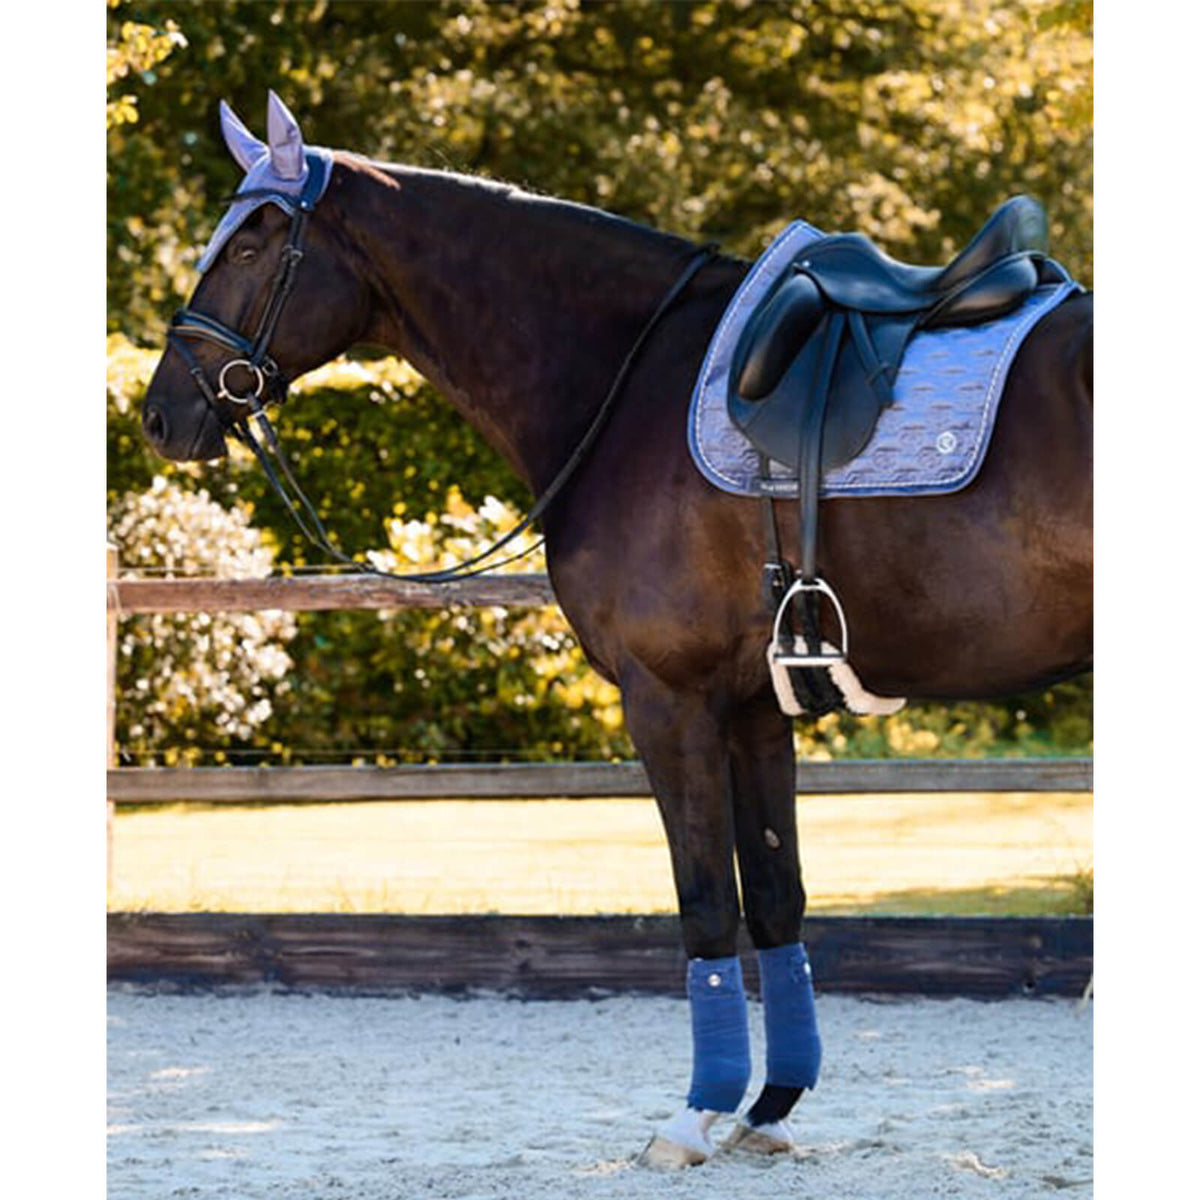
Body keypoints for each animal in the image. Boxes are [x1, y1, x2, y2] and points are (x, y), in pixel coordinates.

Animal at [140, 93, 1092, 1166]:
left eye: (249, 245)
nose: (161, 414)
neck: (629, 377)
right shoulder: (754, 708)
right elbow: (776, 897)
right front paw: (770, 1107)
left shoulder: (666, 700)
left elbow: (705, 901)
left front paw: (696, 1112)